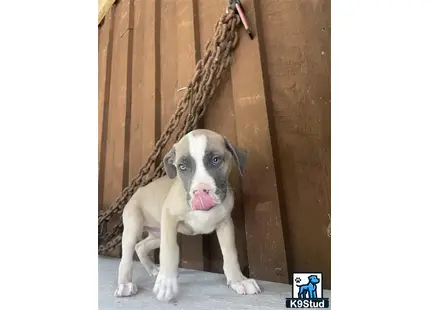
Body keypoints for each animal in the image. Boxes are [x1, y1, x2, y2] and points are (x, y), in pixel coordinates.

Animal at [114, 130, 260, 302]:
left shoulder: (225, 223)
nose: (200, 191)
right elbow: (169, 250)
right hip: (135, 226)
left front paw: (239, 280)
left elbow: (230, 252)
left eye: (215, 160)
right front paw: (166, 283)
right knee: (127, 256)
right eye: (182, 167)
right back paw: (125, 284)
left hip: (158, 233)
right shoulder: (169, 217)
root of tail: (137, 191)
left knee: (141, 246)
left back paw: (153, 269)